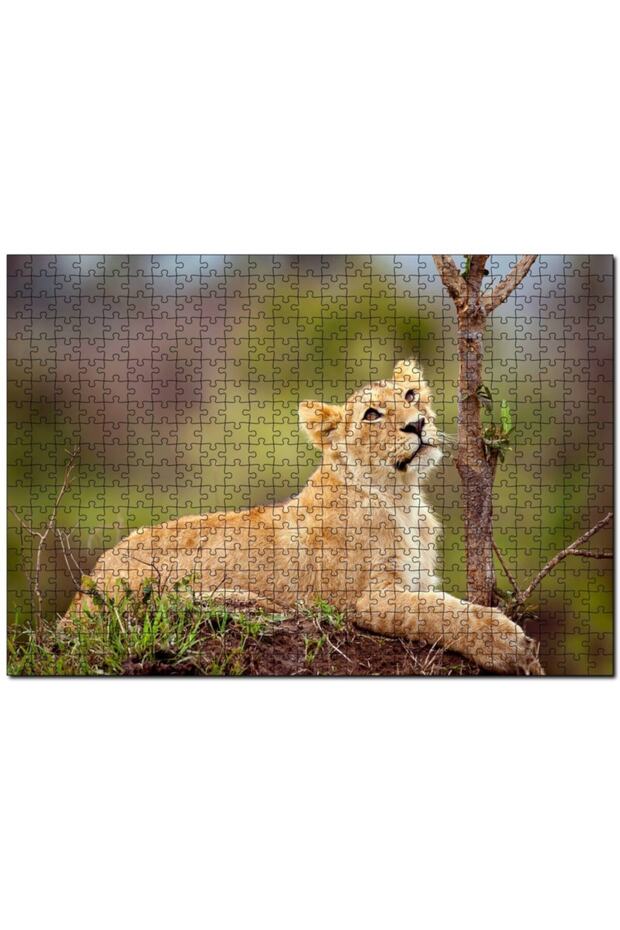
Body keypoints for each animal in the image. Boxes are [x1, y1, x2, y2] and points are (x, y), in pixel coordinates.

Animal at [66, 359, 543, 674]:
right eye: (372, 415)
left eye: (410, 396)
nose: (417, 424)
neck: (401, 498)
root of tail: (77, 600)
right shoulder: (365, 598)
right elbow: (441, 613)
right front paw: (511, 646)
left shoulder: (417, 579)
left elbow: (446, 604)